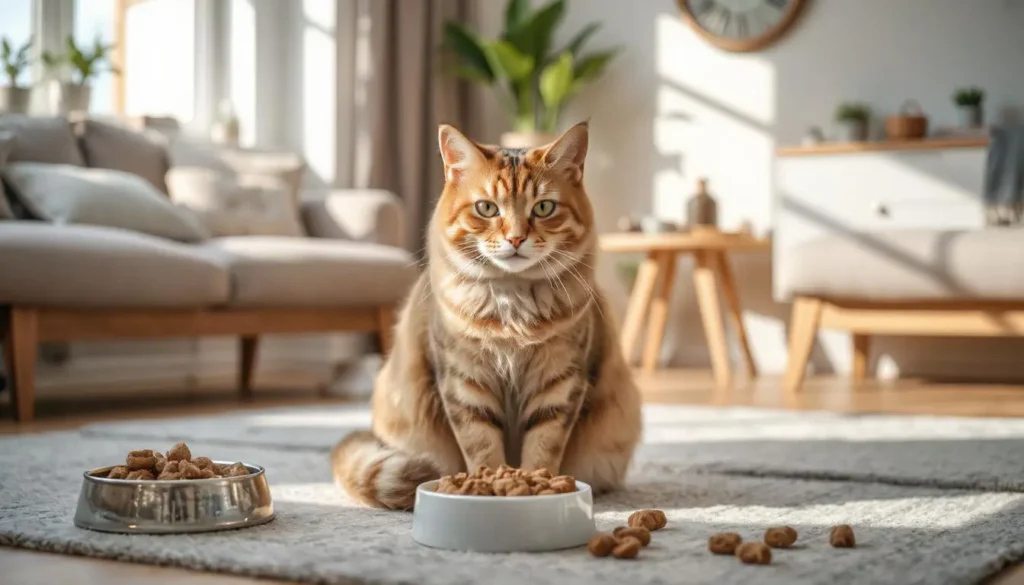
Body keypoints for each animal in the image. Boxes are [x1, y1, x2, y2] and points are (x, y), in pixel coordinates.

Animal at [331, 122, 638, 508]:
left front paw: (537, 485)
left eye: (544, 207)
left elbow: (543, 448)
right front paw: (489, 486)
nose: (516, 239)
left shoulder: (559, 381)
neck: (512, 310)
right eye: (487, 208)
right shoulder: (464, 382)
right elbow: (482, 447)